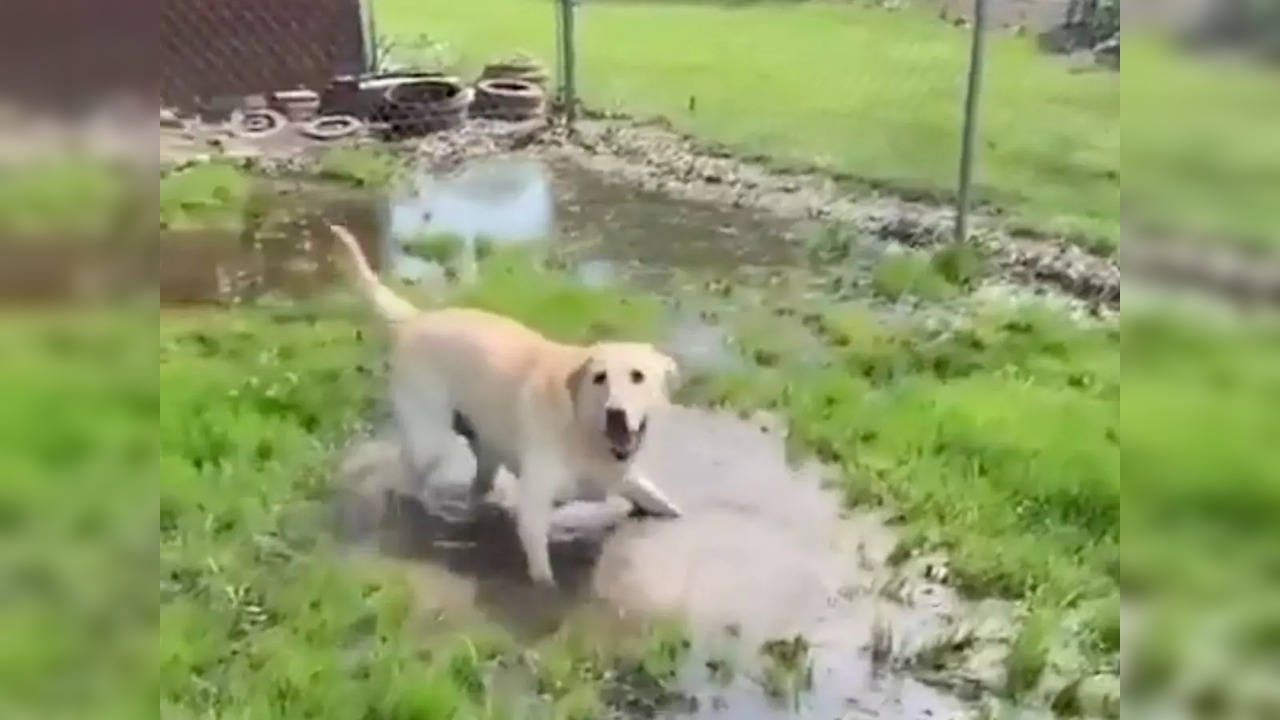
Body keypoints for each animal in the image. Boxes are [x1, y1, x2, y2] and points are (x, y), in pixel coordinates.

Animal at [335, 224, 686, 584]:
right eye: (599, 378)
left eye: (637, 376)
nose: (614, 412)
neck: (583, 429)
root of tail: (416, 319)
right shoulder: (533, 506)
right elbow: (543, 572)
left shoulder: (625, 480)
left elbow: (666, 506)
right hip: (428, 442)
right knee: (401, 479)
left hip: (483, 447)